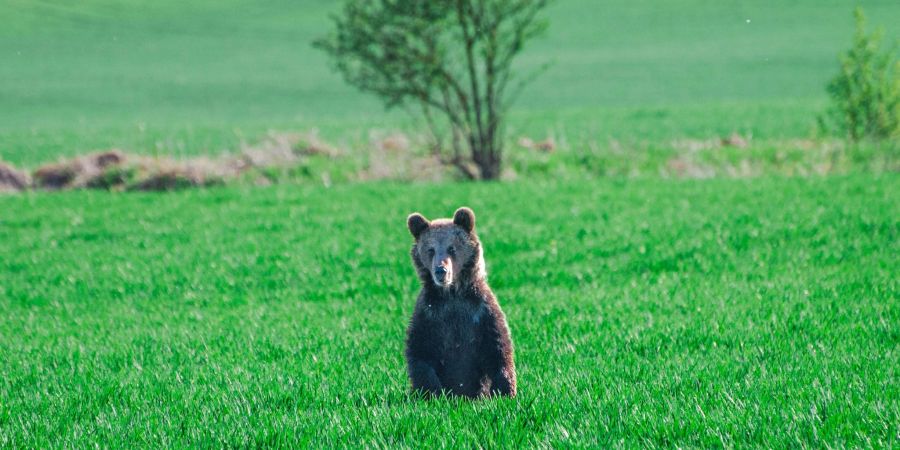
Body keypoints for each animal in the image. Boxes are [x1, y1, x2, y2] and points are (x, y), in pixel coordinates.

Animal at [404, 207, 516, 398]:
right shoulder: (429, 313)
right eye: (430, 249)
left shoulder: (481, 310)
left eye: (452, 248)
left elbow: (498, 347)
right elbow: (420, 351)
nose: (441, 271)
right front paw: (432, 392)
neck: (452, 293)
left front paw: (505, 391)